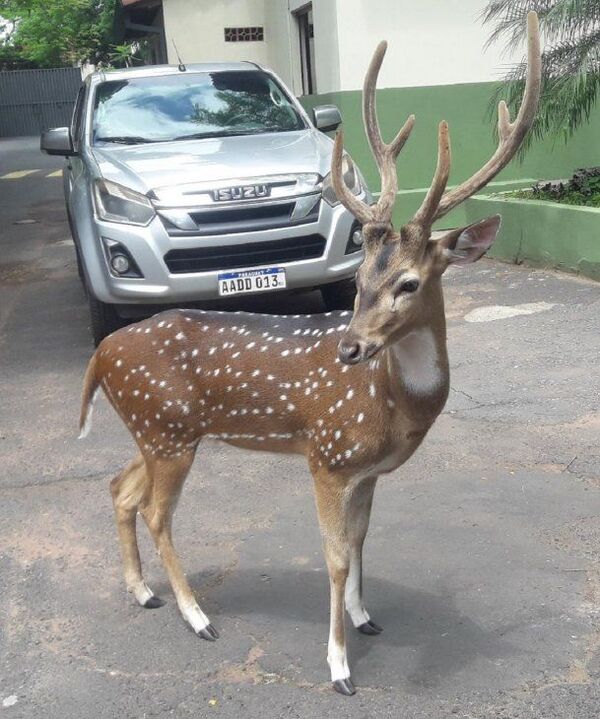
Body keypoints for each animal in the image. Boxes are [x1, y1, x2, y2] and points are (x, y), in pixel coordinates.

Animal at [77, 11, 540, 696]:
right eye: (360, 280)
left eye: (408, 283)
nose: (351, 347)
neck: (393, 407)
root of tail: (102, 352)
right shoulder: (328, 455)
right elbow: (335, 556)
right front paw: (339, 665)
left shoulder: (365, 470)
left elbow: (363, 542)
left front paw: (366, 618)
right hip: (166, 430)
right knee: (158, 512)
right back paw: (197, 617)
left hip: (158, 428)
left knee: (120, 487)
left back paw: (142, 593)